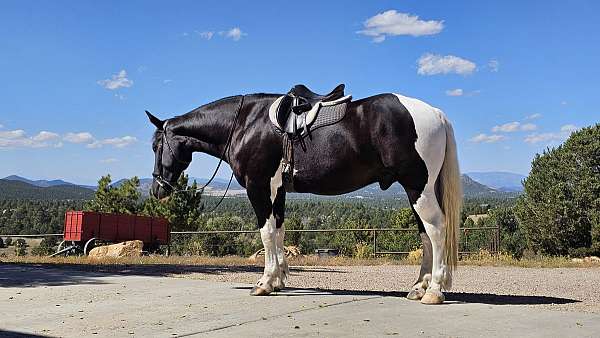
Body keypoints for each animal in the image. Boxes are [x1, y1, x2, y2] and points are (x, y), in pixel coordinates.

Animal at [146, 86, 464, 304]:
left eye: (156, 146)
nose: (157, 189)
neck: (246, 123)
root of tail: (435, 114)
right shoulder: (278, 191)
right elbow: (279, 232)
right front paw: (278, 279)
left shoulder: (258, 187)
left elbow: (265, 233)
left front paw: (264, 282)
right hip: (416, 190)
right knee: (426, 234)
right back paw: (419, 287)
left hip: (418, 187)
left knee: (436, 230)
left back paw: (434, 291)